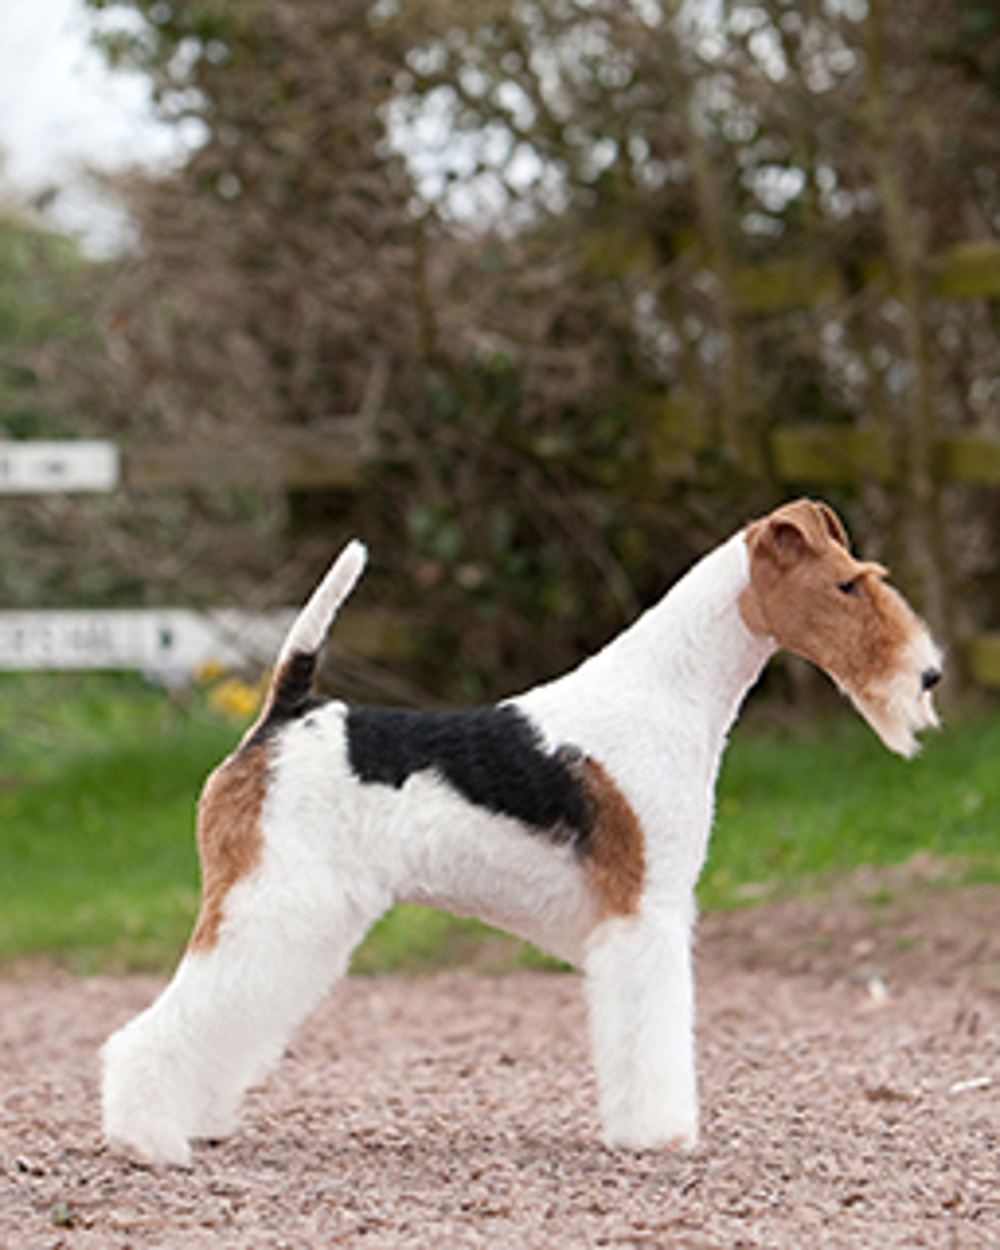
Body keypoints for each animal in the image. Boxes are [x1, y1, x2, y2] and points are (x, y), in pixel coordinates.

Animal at [97, 495, 940, 1160]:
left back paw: (197, 1119)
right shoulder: (645, 914)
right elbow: (652, 1031)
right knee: (162, 1024)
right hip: (269, 900)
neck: (667, 692)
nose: (930, 675)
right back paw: (148, 1137)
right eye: (847, 585)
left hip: (300, 916)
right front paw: (659, 1133)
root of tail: (282, 716)